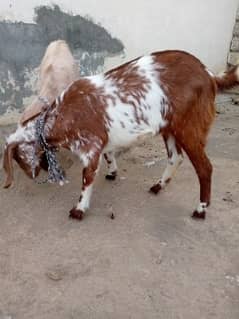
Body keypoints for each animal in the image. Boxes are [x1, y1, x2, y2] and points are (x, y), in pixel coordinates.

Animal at [2, 50, 239, 220]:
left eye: (17, 159)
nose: (34, 174)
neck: (59, 117)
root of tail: (208, 74)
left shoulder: (90, 147)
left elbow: (87, 179)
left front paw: (79, 209)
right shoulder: (102, 141)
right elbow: (108, 155)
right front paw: (113, 172)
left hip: (189, 127)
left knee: (204, 167)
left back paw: (200, 209)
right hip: (170, 128)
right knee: (175, 158)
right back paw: (158, 186)